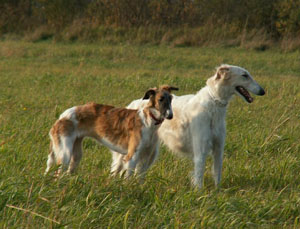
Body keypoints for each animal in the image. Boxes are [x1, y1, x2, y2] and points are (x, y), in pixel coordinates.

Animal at [44, 85, 178, 177]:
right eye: (160, 99)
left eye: (171, 99)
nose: (170, 116)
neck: (149, 121)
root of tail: (62, 116)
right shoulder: (131, 156)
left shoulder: (145, 159)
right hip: (65, 154)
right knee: (57, 173)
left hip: (76, 154)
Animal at [112, 64, 264, 188]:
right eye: (245, 75)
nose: (263, 91)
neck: (213, 104)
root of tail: (131, 105)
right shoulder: (200, 149)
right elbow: (199, 175)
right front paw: (200, 194)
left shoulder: (218, 148)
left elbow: (217, 174)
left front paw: (218, 192)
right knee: (117, 168)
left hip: (150, 151)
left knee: (139, 172)